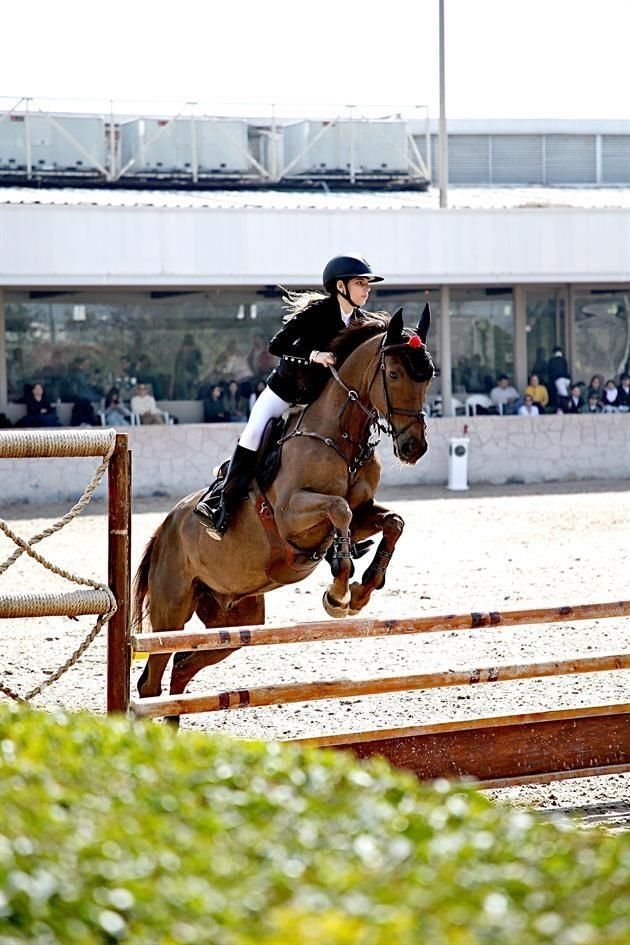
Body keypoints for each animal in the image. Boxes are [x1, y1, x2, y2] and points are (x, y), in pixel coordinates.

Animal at [136, 306, 436, 712]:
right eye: (393, 374)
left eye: (429, 376)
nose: (413, 448)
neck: (341, 436)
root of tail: (164, 528)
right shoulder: (291, 516)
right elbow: (339, 510)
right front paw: (337, 594)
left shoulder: (361, 515)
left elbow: (392, 521)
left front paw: (362, 590)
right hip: (172, 610)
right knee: (151, 681)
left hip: (238, 617)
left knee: (181, 667)